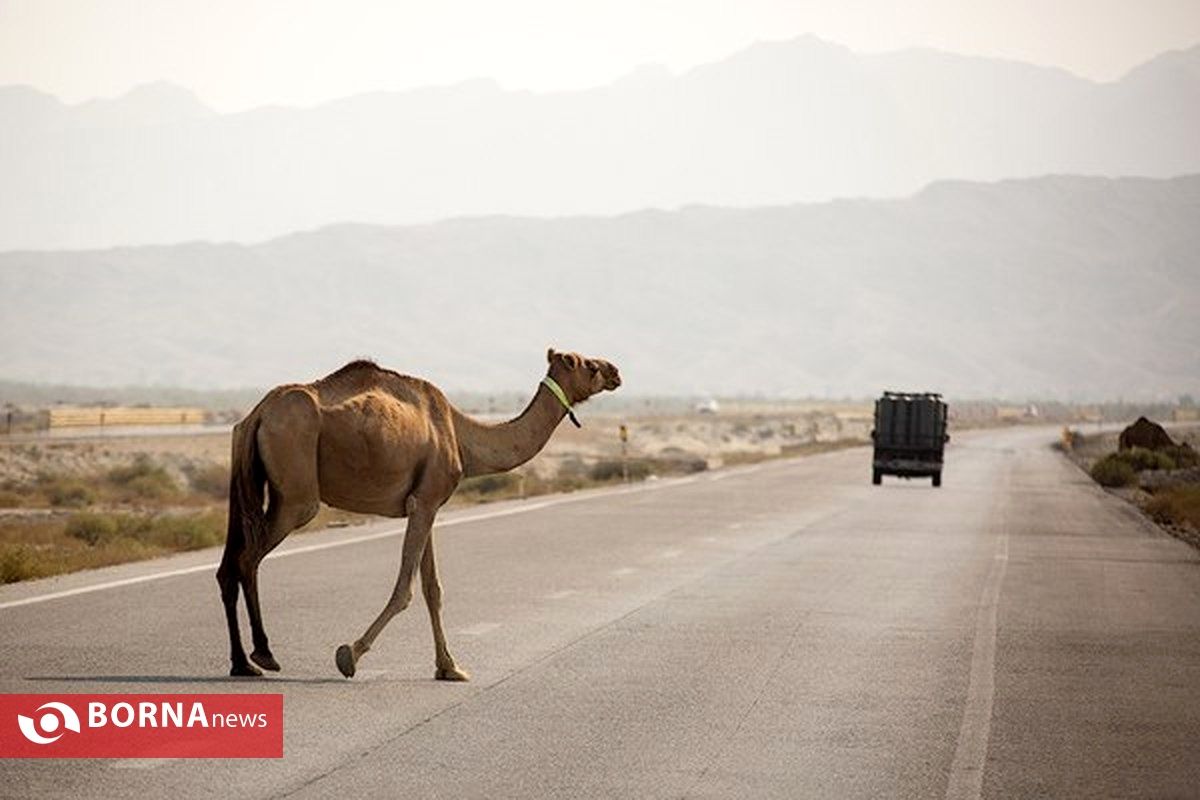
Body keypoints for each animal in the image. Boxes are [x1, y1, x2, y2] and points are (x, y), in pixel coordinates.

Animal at [216, 347, 624, 681]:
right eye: (588, 364)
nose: (616, 371)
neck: (461, 435)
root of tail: (257, 415)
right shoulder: (425, 502)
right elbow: (406, 590)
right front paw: (350, 655)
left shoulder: (427, 503)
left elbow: (433, 589)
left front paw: (450, 667)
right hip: (296, 490)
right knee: (248, 559)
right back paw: (263, 654)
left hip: (248, 479)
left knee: (228, 566)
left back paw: (242, 663)